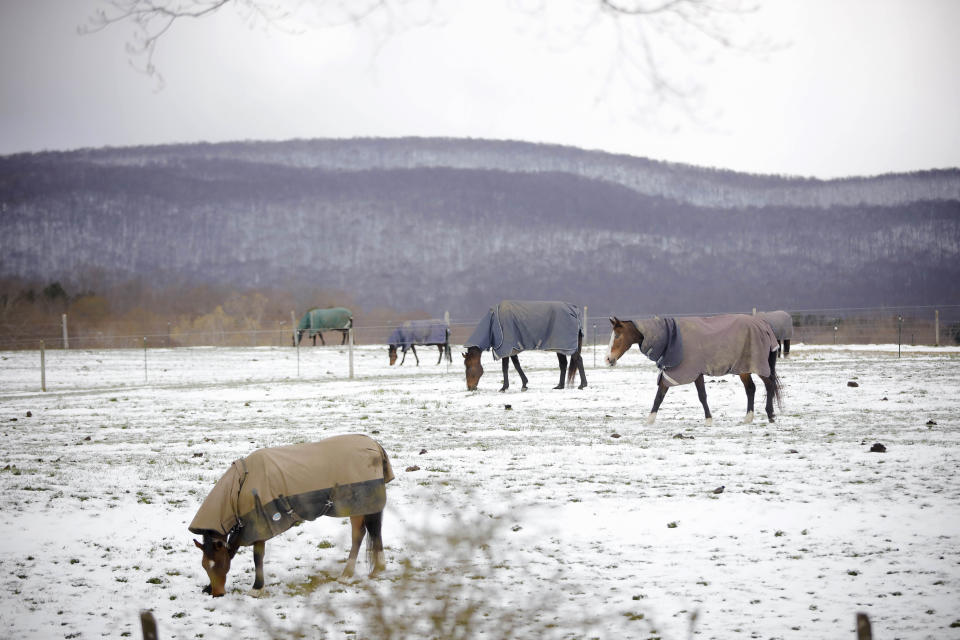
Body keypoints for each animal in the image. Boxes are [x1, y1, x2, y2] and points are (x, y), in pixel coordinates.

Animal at [189, 432, 392, 596]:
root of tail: (373, 445)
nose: (217, 594)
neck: (242, 484)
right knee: (362, 534)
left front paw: (257, 588)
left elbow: (257, 557)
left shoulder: (260, 524)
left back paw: (364, 572)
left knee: (368, 533)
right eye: (204, 566)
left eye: (218, 563)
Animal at [604, 314, 784, 424]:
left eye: (618, 336)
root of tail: (763, 325)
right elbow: (660, 396)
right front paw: (650, 420)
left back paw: (770, 415)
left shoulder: (692, 371)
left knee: (769, 385)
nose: (608, 359)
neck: (669, 337)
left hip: (756, 365)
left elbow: (701, 396)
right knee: (751, 389)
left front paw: (708, 420)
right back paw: (748, 418)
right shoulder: (675, 373)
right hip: (743, 368)